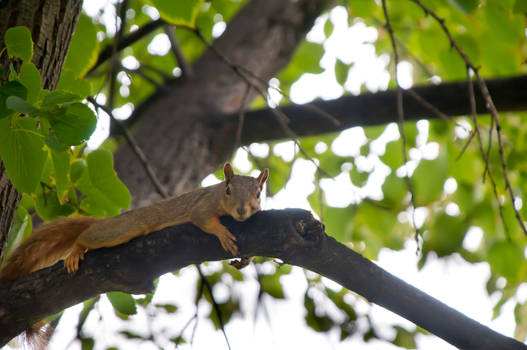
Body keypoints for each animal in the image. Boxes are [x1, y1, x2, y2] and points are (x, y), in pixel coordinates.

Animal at [0, 163, 270, 284]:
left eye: (259, 194)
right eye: (228, 190)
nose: (242, 210)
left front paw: (247, 259)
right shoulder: (203, 205)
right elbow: (202, 218)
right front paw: (222, 232)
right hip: (123, 229)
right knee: (89, 235)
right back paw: (77, 249)